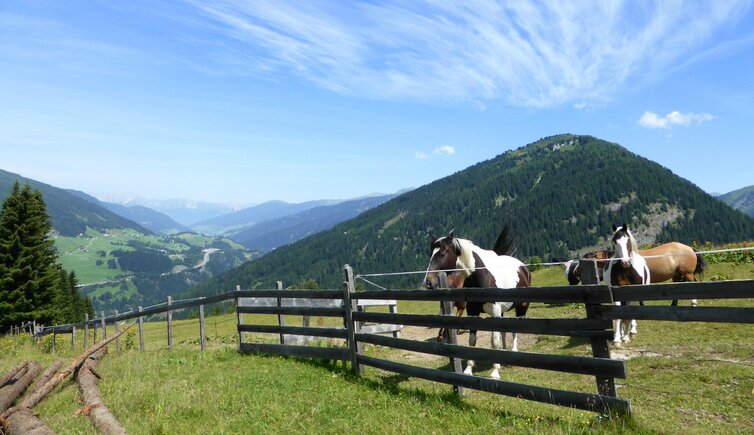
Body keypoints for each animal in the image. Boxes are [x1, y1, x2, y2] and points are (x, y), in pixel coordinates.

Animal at [424, 230, 528, 380]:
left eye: (442, 254)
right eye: (431, 253)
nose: (428, 282)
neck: (483, 276)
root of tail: (523, 267)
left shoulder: (494, 313)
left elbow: (494, 341)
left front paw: (495, 372)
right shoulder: (473, 312)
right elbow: (472, 341)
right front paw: (468, 369)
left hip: (522, 308)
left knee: (516, 329)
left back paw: (514, 352)